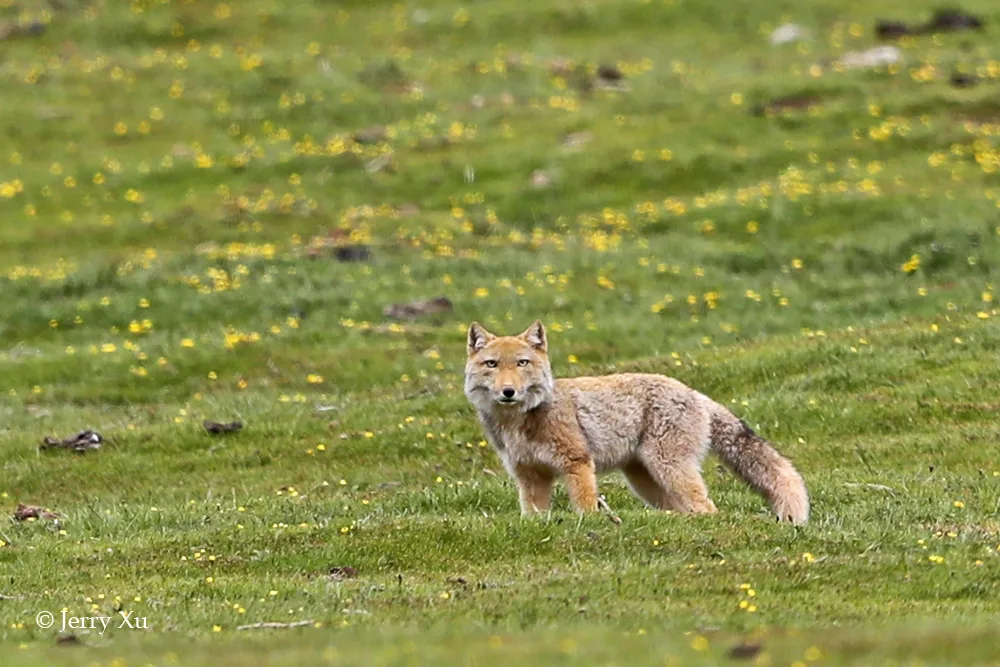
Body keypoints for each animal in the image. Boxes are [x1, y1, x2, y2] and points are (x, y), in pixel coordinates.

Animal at [464, 320, 808, 524]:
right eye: (492, 365)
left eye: (522, 363)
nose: (508, 392)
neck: (519, 422)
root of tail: (695, 393)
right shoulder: (529, 476)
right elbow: (534, 515)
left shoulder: (578, 463)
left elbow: (585, 507)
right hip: (648, 482)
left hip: (670, 470)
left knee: (708, 508)